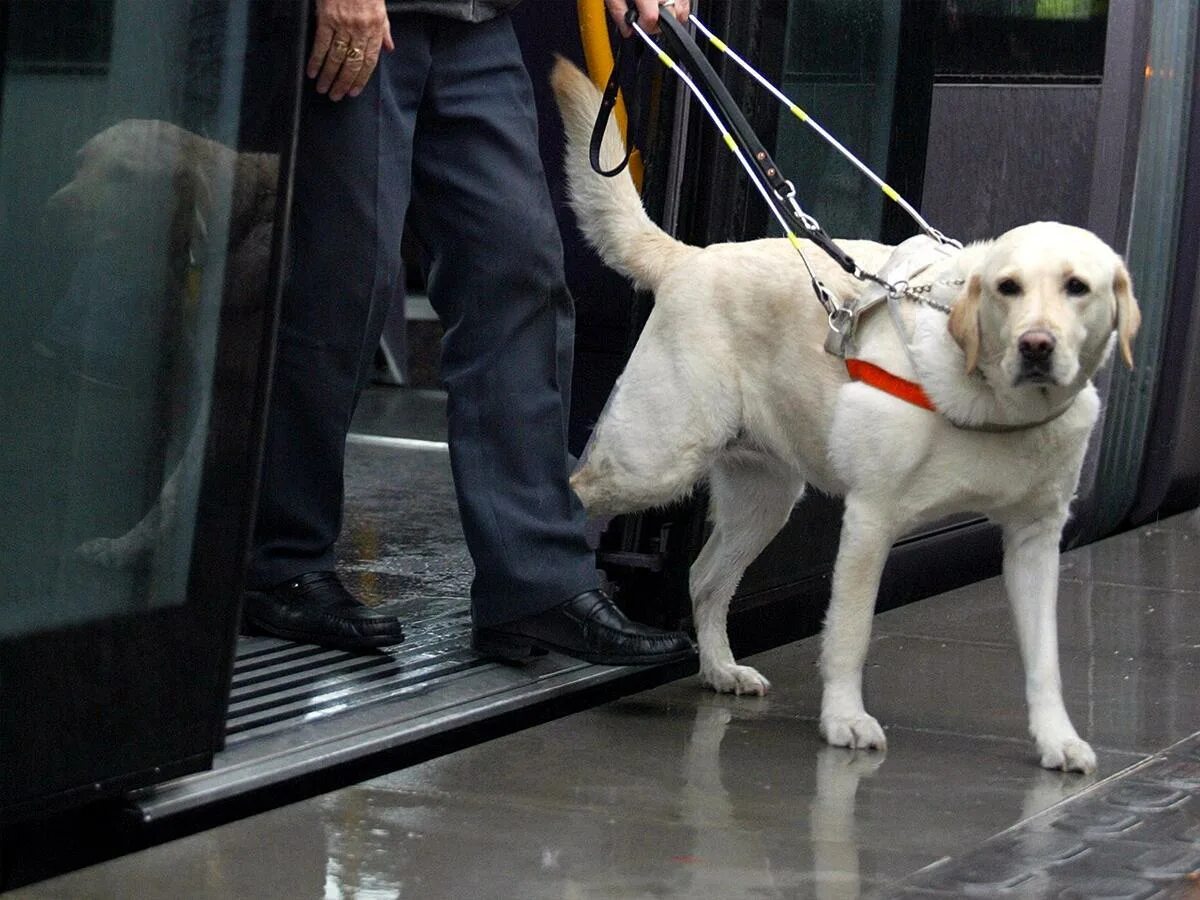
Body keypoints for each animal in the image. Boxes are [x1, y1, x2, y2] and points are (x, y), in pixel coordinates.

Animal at [549, 58, 1137, 777]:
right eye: (1008, 288)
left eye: (1078, 288)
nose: (1036, 346)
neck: (997, 408)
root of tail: (693, 255)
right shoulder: (872, 519)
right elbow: (850, 633)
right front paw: (844, 720)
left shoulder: (1035, 540)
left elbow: (1045, 659)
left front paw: (1056, 738)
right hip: (655, 459)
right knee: (574, 489)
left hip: (764, 497)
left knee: (705, 577)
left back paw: (719, 669)